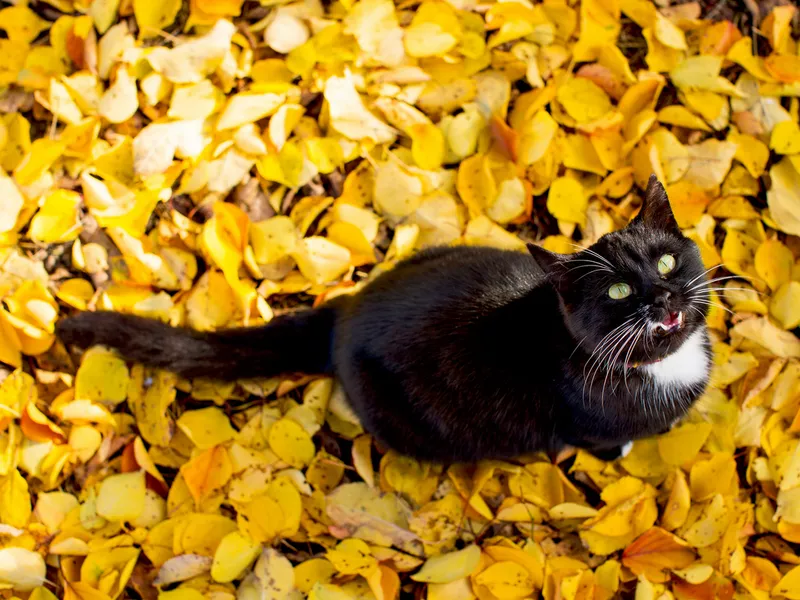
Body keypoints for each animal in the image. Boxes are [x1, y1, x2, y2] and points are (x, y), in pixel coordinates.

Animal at [59, 176, 716, 462]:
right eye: (618, 289)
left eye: (666, 259)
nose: (662, 295)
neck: (666, 367)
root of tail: (343, 313)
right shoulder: (584, 423)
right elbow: (601, 440)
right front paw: (621, 451)